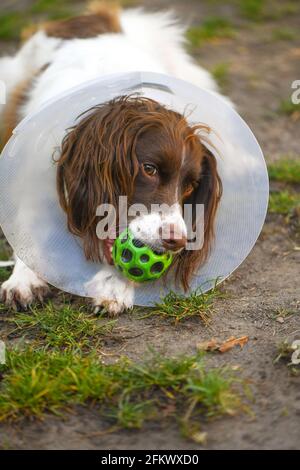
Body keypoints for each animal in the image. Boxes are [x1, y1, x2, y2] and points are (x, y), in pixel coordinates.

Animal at [0, 3, 226, 316]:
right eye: (149, 169)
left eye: (191, 186)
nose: (177, 241)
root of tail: (101, 14)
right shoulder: (29, 183)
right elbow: (26, 231)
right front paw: (23, 279)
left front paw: (114, 284)